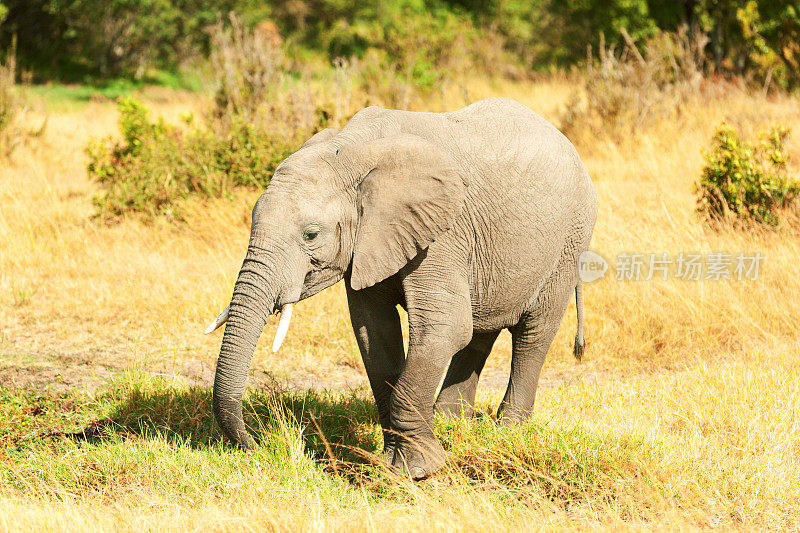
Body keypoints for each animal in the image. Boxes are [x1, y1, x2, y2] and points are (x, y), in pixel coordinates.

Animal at [203, 95, 596, 478]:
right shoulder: (371, 241)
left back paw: (508, 429)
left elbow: (444, 327)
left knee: (533, 333)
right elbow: (373, 334)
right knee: (480, 331)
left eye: (311, 235)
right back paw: (449, 422)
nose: (256, 446)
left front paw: (415, 471)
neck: (354, 149)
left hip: (569, 242)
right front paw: (387, 463)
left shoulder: (443, 233)